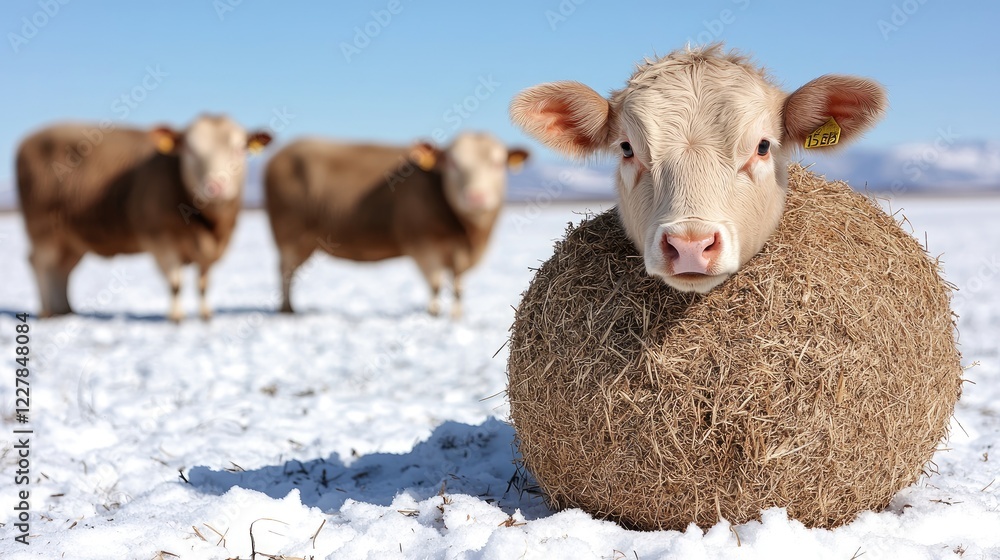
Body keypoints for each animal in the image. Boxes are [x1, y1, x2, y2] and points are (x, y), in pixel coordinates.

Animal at [16, 115, 273, 321]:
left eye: (239, 149)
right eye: (190, 150)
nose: (215, 187)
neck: (207, 227)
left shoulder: (212, 249)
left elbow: (203, 284)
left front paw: (206, 314)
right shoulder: (159, 239)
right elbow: (175, 283)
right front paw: (176, 317)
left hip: (70, 239)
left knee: (62, 269)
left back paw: (65, 310)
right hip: (43, 228)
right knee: (40, 263)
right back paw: (48, 311)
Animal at [264, 132, 528, 317]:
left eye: (497, 164)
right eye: (453, 164)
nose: (477, 197)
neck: (467, 231)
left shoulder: (459, 253)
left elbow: (458, 286)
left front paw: (456, 315)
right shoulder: (421, 243)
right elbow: (435, 283)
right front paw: (433, 313)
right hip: (288, 232)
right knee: (285, 270)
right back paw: (287, 308)